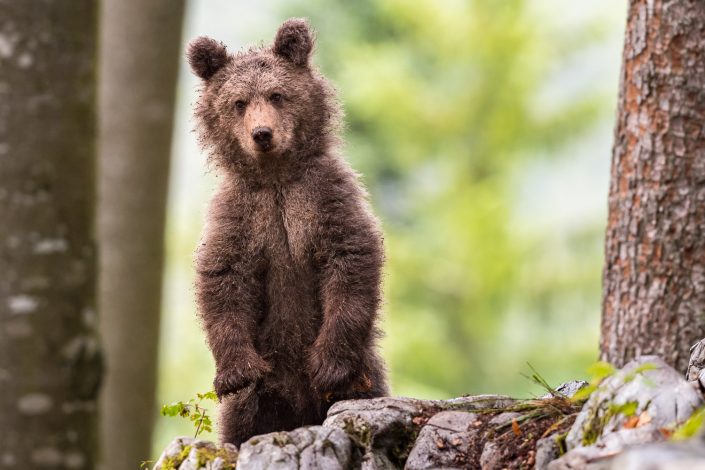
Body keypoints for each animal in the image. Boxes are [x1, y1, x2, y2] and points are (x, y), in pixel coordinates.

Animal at [184, 17, 388, 444]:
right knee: (240, 426)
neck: (276, 178)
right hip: (258, 400)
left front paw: (327, 363)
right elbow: (223, 277)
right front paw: (235, 371)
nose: (262, 134)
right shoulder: (242, 214)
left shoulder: (324, 197)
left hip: (365, 377)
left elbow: (350, 258)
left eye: (277, 95)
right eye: (238, 102)